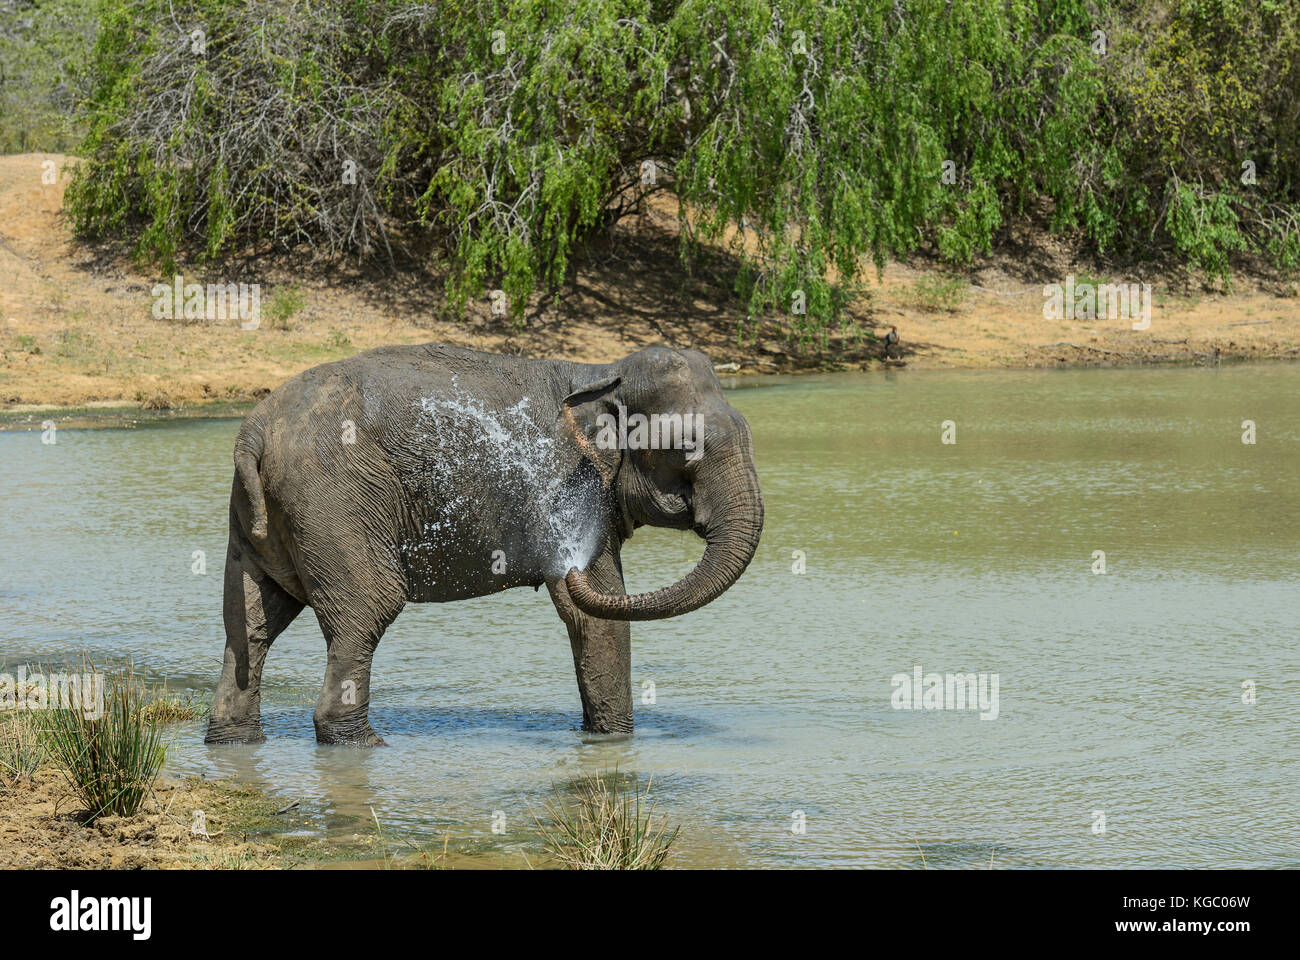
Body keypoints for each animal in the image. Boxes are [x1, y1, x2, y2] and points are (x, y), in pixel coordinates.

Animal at [205, 340, 759, 744]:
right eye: (687, 450)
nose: (564, 564)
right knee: (368, 608)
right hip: (334, 500)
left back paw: (234, 740)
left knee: (250, 623)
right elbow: (595, 615)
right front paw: (616, 744)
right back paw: (360, 744)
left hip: (260, 517)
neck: (601, 373)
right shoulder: (570, 490)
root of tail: (254, 431)